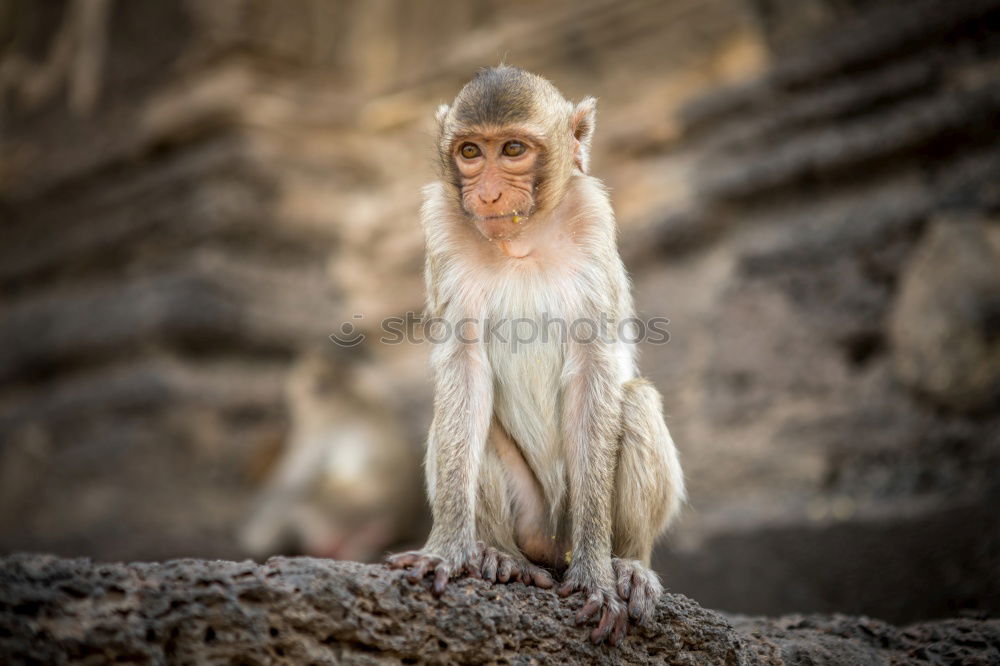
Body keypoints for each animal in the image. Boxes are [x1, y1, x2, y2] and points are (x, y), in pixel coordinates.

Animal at [386, 66, 684, 644]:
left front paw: (597, 578)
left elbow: (595, 369)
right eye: (471, 151)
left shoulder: (593, 219)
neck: (520, 241)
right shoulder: (441, 224)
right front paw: (447, 549)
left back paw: (629, 564)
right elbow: (465, 370)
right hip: (533, 518)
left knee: (635, 401)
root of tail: (550, 546)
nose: (488, 193)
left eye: (513, 149)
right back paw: (499, 555)